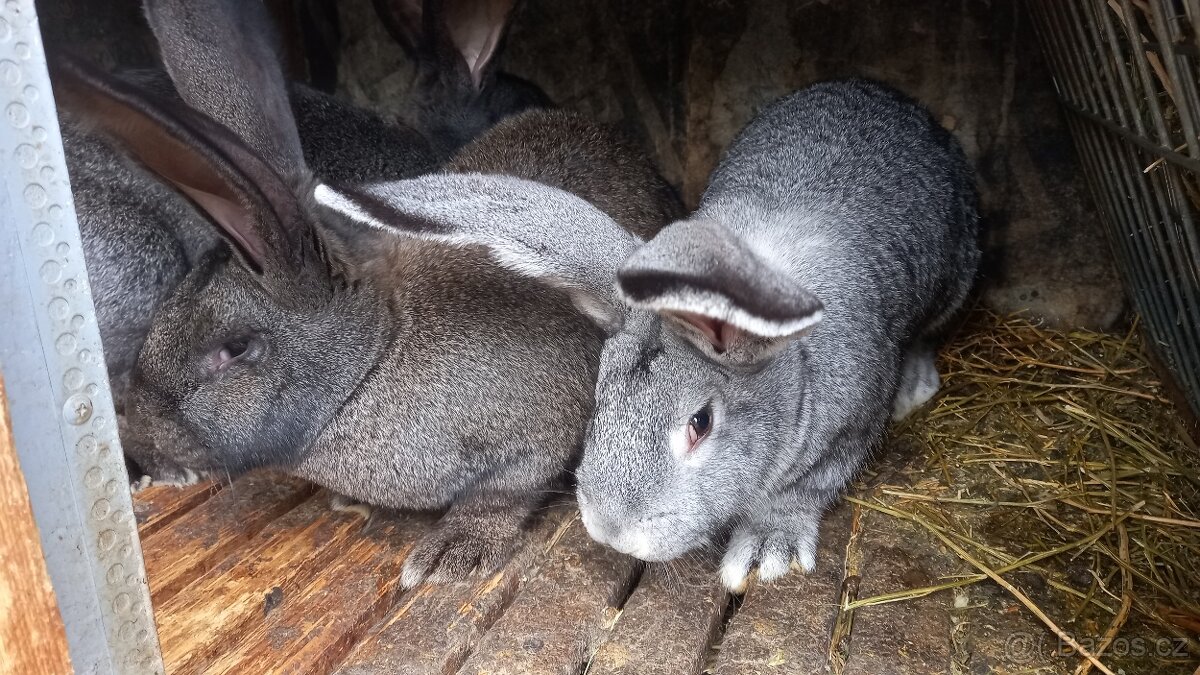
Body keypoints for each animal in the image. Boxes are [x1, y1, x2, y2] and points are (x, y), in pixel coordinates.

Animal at [58, 0, 676, 583]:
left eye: (235, 349)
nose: (142, 437)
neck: (377, 356)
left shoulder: (540, 438)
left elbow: (501, 499)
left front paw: (453, 554)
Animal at [343, 78, 979, 586]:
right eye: (599, 395)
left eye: (701, 424)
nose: (610, 528)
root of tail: (885, 94)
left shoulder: (851, 423)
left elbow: (802, 491)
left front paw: (764, 553)